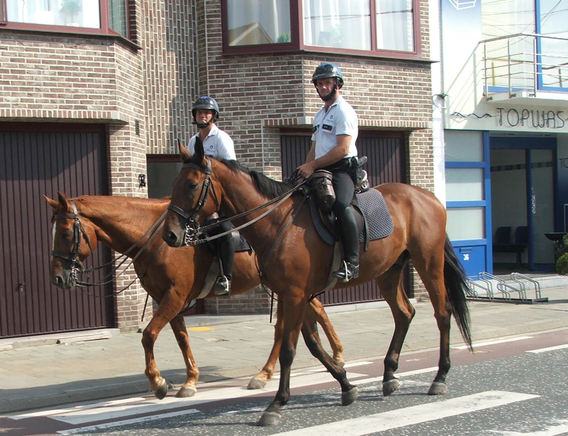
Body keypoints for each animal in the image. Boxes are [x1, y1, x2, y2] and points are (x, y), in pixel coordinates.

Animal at [44, 194, 344, 402]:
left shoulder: (174, 296)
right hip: (288, 288)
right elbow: (182, 338)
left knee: (290, 324)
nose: (57, 278)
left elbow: (149, 335)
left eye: (66, 232)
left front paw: (158, 383)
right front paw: (190, 381)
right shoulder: (169, 298)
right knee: (307, 314)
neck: (157, 239)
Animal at [162, 141, 472, 428]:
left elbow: (289, 350)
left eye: (191, 185)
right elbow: (313, 344)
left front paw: (276, 405)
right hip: (388, 272)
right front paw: (346, 386)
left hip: (428, 263)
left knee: (443, 313)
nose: (170, 235)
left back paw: (439, 376)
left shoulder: (295, 295)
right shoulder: (299, 295)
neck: (277, 223)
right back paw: (389, 376)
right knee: (404, 314)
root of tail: (428, 196)